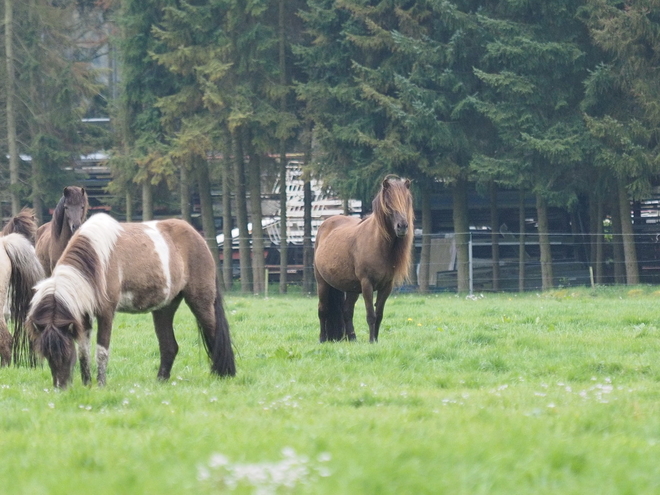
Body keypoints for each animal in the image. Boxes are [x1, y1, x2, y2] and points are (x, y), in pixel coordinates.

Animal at [27, 212, 236, 388]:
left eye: (65, 350)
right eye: (46, 354)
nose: (60, 387)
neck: (96, 260)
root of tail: (197, 236)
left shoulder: (106, 314)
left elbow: (101, 351)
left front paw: (101, 384)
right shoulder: (83, 317)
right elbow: (84, 352)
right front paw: (86, 384)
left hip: (201, 302)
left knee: (215, 336)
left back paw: (223, 373)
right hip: (164, 309)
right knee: (169, 346)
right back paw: (161, 380)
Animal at [314, 176, 412, 342]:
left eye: (406, 200)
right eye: (388, 202)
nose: (402, 226)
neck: (378, 245)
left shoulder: (387, 286)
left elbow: (379, 315)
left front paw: (376, 340)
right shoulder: (367, 284)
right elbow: (371, 315)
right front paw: (371, 341)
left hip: (352, 288)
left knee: (347, 311)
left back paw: (352, 338)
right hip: (322, 283)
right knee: (323, 310)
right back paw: (322, 339)